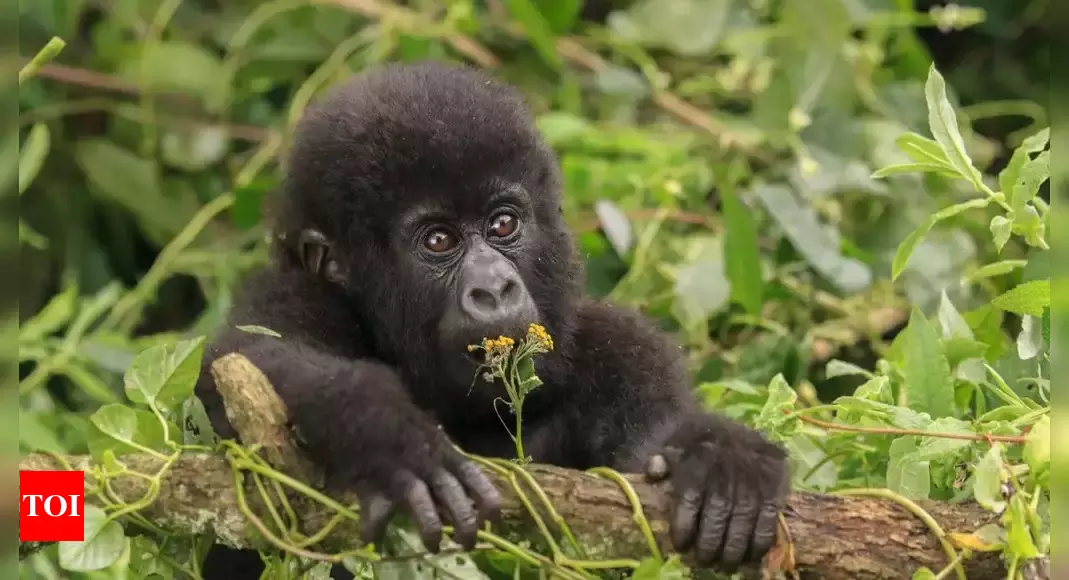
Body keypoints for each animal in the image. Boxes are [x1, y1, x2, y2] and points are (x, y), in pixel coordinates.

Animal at [196, 59, 791, 576]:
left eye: (503, 224)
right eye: (439, 240)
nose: (495, 287)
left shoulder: (623, 345)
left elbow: (647, 454)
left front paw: (721, 458)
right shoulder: (290, 291)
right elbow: (243, 362)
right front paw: (383, 433)